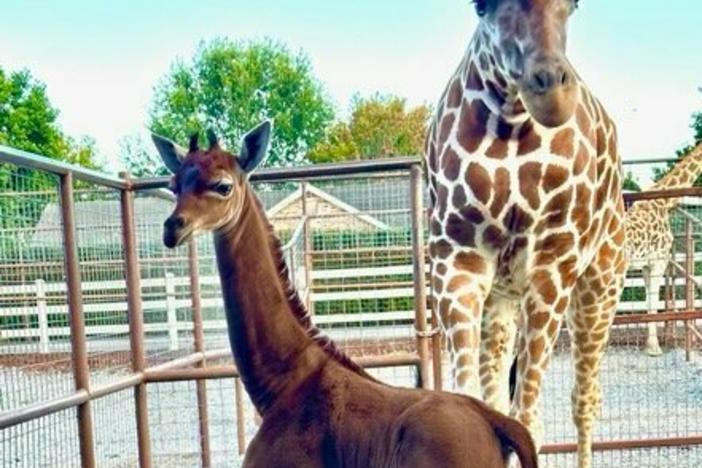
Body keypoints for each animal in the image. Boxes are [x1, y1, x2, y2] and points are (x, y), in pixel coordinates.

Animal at [426, 1, 628, 466]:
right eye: (480, 7)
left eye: (574, 6)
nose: (550, 92)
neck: (512, 125)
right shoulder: (456, 263)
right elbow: (477, 407)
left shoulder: (551, 266)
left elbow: (529, 423)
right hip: (501, 300)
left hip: (600, 287)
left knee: (584, 400)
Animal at [628, 142, 702, 354]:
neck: (663, 201)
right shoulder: (658, 260)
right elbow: (653, 302)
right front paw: (654, 348)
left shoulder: (647, 265)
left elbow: (649, 301)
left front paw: (650, 345)